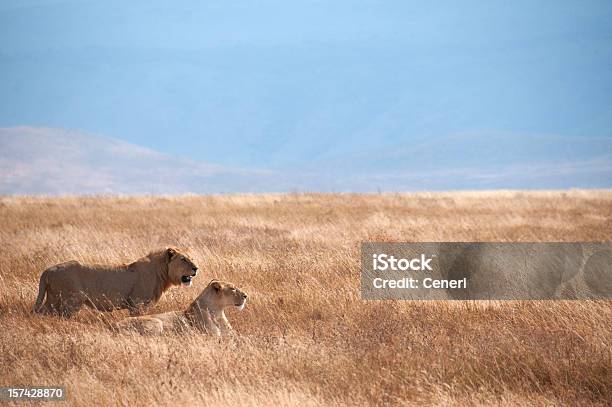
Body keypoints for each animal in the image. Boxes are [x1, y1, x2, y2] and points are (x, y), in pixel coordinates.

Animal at [34, 247, 198, 318]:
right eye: (183, 259)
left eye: (191, 258)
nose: (196, 268)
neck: (161, 273)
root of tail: (48, 270)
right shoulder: (137, 304)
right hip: (69, 301)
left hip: (53, 299)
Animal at [117, 280, 246, 338]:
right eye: (233, 289)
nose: (246, 296)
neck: (218, 311)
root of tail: (114, 325)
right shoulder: (212, 335)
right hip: (157, 322)